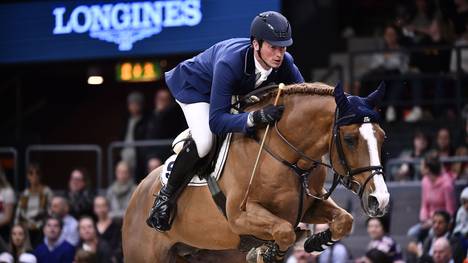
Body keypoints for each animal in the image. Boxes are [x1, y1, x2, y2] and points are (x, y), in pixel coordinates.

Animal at [122, 81, 390, 262]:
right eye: (350, 139)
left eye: (382, 137)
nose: (380, 199)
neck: (286, 156)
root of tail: (137, 193)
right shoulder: (240, 216)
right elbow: (284, 231)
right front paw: (268, 252)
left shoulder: (309, 206)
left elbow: (344, 220)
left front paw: (315, 241)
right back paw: (161, 210)